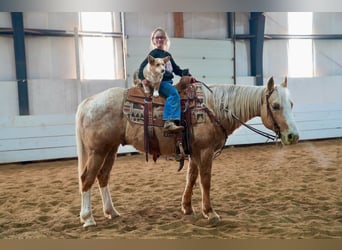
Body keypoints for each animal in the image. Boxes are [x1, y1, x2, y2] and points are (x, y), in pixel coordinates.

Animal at [75, 75, 300, 227]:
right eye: (276, 105)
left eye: (291, 104)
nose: (293, 136)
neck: (213, 108)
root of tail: (88, 102)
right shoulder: (206, 152)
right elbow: (205, 181)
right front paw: (210, 212)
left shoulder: (194, 153)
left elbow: (191, 178)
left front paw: (187, 207)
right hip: (98, 151)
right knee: (87, 178)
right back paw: (88, 218)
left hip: (110, 149)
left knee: (102, 177)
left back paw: (111, 212)